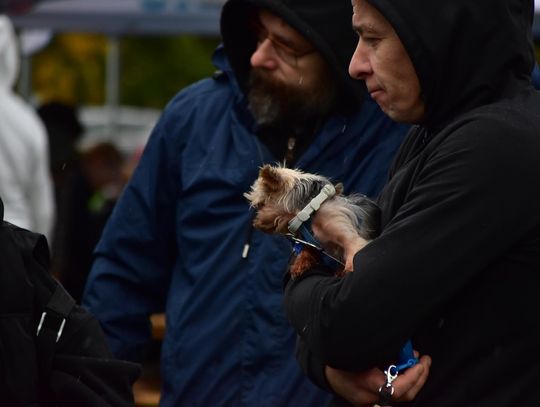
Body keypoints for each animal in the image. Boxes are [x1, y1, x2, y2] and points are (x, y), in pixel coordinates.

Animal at [245, 164, 380, 278]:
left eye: (261, 205)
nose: (255, 224)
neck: (310, 210)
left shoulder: (347, 234)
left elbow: (352, 249)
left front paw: (349, 269)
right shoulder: (309, 240)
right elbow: (307, 250)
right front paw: (300, 264)